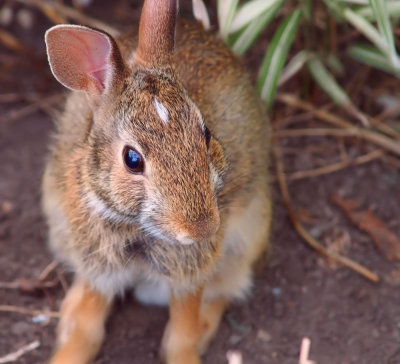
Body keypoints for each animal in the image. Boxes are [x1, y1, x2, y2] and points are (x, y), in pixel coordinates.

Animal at [41, 0, 272, 364]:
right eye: (132, 159)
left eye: (206, 135)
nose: (202, 229)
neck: (137, 227)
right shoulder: (98, 267)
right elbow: (86, 329)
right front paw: (68, 349)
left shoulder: (189, 274)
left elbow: (183, 334)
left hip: (248, 237)